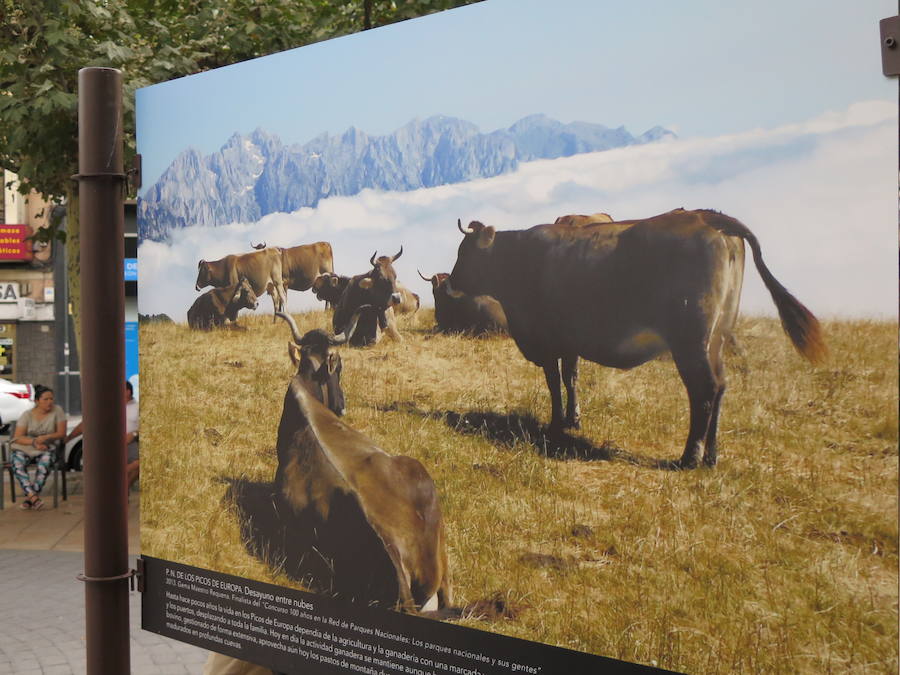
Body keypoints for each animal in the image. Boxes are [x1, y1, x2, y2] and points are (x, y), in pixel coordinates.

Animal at [446, 211, 828, 470]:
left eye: (464, 252)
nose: (450, 281)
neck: (520, 260)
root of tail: (706, 216)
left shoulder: (548, 338)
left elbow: (554, 382)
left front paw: (555, 424)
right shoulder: (569, 341)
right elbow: (571, 378)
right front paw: (573, 419)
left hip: (691, 339)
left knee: (704, 390)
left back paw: (690, 456)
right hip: (716, 338)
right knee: (720, 387)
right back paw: (711, 455)